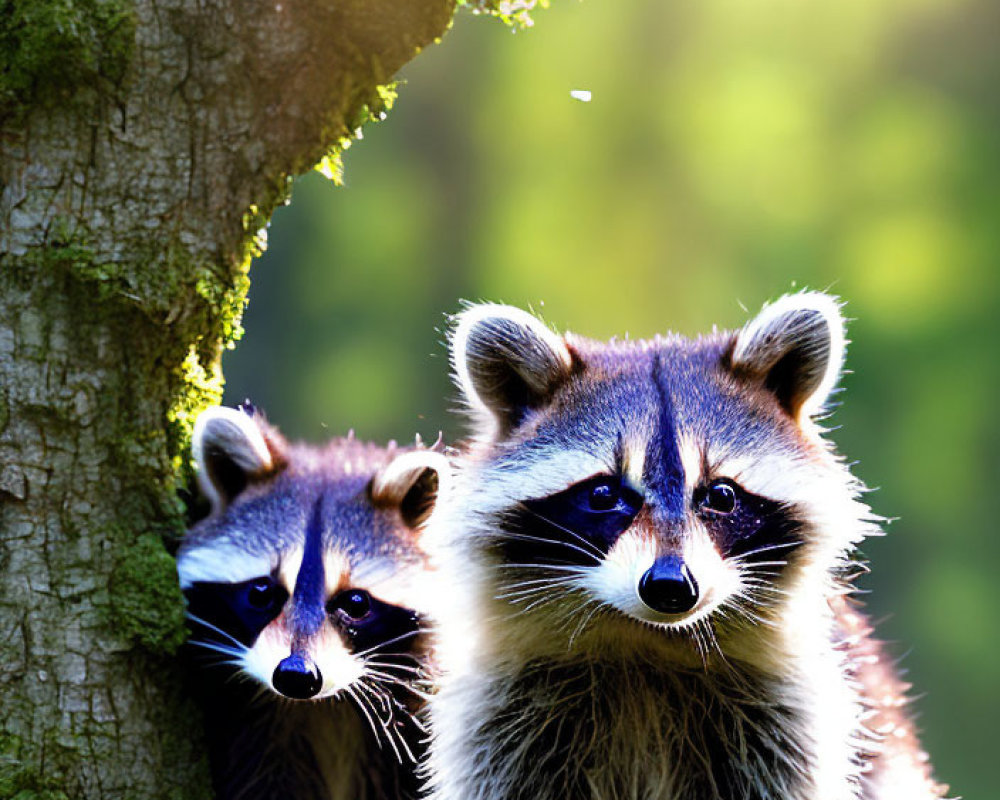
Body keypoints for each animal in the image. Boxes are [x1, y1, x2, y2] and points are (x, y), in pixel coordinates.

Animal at [426, 294, 948, 800]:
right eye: (604, 494)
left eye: (721, 496)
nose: (670, 585)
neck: (646, 642)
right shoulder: (499, 718)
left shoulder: (795, 716)